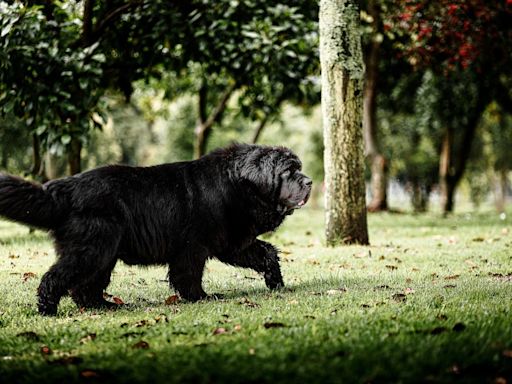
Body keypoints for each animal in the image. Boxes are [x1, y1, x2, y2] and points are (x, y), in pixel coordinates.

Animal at [0, 144, 312, 316]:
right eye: (288, 172)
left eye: (299, 168)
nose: (309, 182)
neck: (238, 184)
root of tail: (66, 188)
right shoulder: (193, 246)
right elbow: (189, 274)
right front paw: (200, 297)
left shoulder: (233, 241)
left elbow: (266, 253)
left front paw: (276, 282)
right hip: (93, 247)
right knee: (57, 276)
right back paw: (47, 309)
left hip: (104, 251)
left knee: (85, 286)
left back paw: (104, 306)